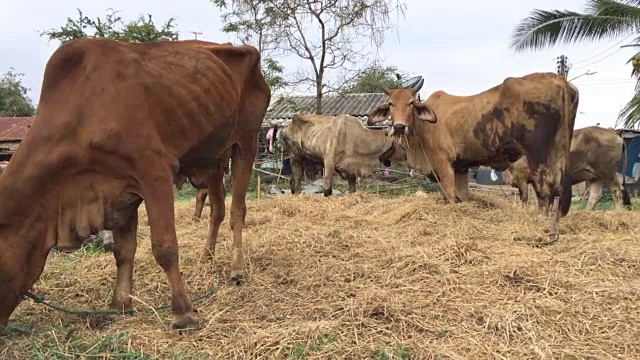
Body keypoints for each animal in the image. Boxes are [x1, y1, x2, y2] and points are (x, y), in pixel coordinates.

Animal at [0, 38, 272, 334]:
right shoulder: (120, 190)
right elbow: (123, 251)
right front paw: (119, 305)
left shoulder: (154, 173)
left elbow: (164, 248)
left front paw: (183, 313)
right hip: (212, 159)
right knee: (217, 211)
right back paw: (206, 256)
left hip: (246, 142)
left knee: (237, 212)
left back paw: (236, 270)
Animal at [364, 72, 580, 221]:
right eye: (390, 104)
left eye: (410, 103)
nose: (399, 126)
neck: (423, 128)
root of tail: (559, 79)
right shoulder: (461, 167)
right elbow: (462, 196)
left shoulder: (443, 163)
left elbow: (449, 195)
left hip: (539, 155)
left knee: (545, 189)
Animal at [504, 126, 632, 211]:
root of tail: (614, 132)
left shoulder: (522, 178)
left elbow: (524, 198)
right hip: (596, 175)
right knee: (595, 196)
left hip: (607, 171)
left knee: (617, 191)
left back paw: (617, 213)